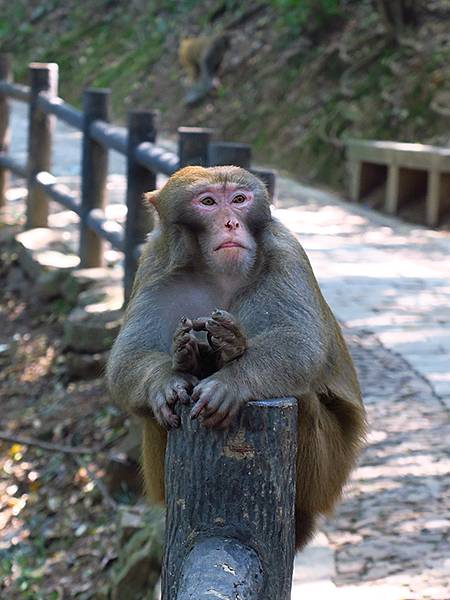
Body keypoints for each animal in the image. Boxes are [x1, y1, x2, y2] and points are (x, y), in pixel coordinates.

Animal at [107, 164, 368, 548]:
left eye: (240, 199)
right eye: (208, 202)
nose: (231, 223)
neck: (219, 275)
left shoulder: (286, 251)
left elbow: (300, 343)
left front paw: (230, 382)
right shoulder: (155, 263)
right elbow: (127, 358)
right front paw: (166, 381)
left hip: (330, 472)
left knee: (304, 400)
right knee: (158, 413)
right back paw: (195, 360)